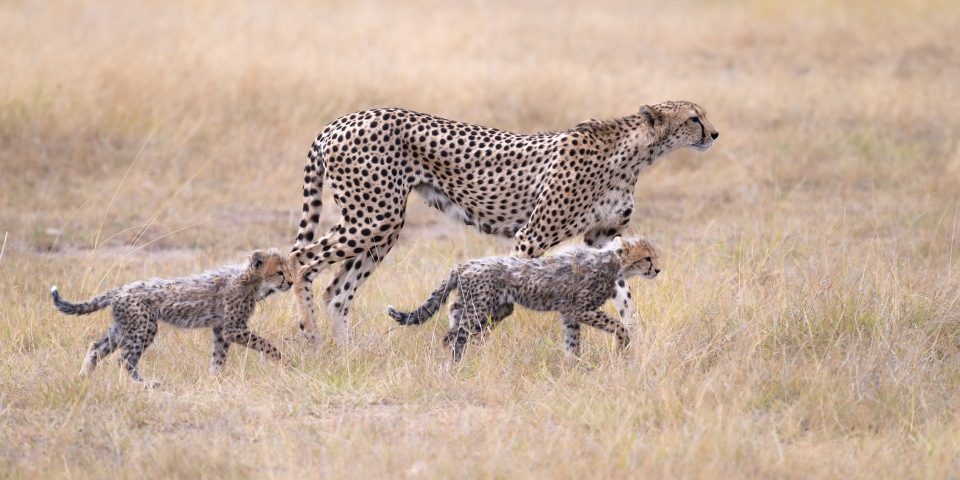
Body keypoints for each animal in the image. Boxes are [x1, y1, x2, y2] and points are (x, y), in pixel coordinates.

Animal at [51, 249, 294, 385]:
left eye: (289, 271)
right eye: (280, 272)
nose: (291, 283)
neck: (248, 279)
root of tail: (120, 290)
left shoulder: (221, 329)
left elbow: (218, 357)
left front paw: (214, 380)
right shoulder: (233, 328)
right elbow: (267, 344)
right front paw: (285, 363)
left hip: (123, 327)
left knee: (96, 348)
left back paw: (84, 378)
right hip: (144, 326)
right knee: (123, 359)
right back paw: (145, 384)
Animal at [289, 101, 717, 346]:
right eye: (693, 117)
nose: (713, 133)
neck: (636, 153)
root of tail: (338, 121)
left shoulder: (602, 240)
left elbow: (625, 295)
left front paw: (636, 338)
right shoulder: (532, 235)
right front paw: (480, 344)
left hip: (381, 226)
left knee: (337, 291)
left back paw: (347, 353)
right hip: (375, 216)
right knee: (300, 259)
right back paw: (310, 336)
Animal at [387, 236, 660, 363]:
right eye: (647, 258)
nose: (658, 270)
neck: (610, 261)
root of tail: (463, 265)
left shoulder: (569, 312)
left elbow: (572, 342)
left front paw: (574, 366)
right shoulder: (581, 309)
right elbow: (619, 325)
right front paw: (622, 345)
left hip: (491, 308)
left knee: (453, 320)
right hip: (480, 309)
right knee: (455, 337)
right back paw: (453, 365)